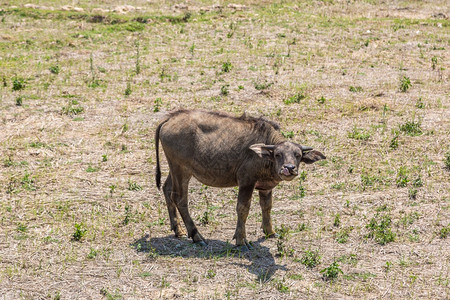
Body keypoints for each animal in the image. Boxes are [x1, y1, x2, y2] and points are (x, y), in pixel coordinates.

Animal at [155, 110, 324, 251]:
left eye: (298, 155)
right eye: (278, 154)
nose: (289, 168)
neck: (262, 154)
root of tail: (171, 117)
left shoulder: (265, 188)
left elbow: (267, 206)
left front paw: (270, 232)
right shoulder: (246, 181)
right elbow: (243, 209)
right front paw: (241, 240)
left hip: (175, 169)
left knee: (167, 189)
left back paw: (178, 230)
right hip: (181, 170)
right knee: (179, 198)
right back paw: (197, 236)